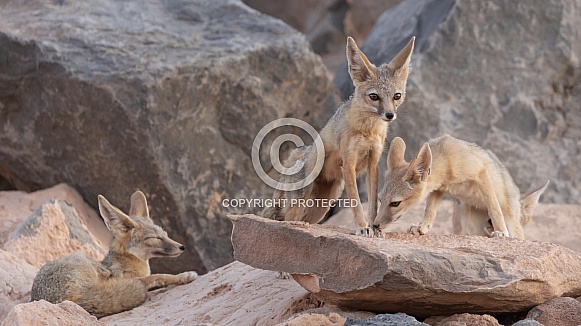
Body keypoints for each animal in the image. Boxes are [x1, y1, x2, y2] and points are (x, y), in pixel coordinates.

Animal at [31, 192, 197, 318]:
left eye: (165, 235)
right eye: (154, 238)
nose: (182, 247)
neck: (128, 261)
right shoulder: (124, 277)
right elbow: (158, 276)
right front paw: (183, 275)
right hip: (81, 259)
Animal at [260, 36, 414, 237]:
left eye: (397, 96)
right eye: (374, 96)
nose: (390, 115)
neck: (367, 130)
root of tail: (297, 154)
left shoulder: (373, 164)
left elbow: (373, 202)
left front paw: (375, 228)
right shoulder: (348, 163)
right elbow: (356, 201)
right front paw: (362, 227)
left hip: (321, 208)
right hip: (299, 205)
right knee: (281, 218)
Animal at [374, 134, 548, 238]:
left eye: (395, 203)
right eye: (380, 199)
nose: (375, 224)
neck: (446, 160)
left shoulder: (481, 171)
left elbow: (494, 207)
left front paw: (500, 231)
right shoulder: (438, 190)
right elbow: (430, 211)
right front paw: (422, 227)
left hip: (511, 224)